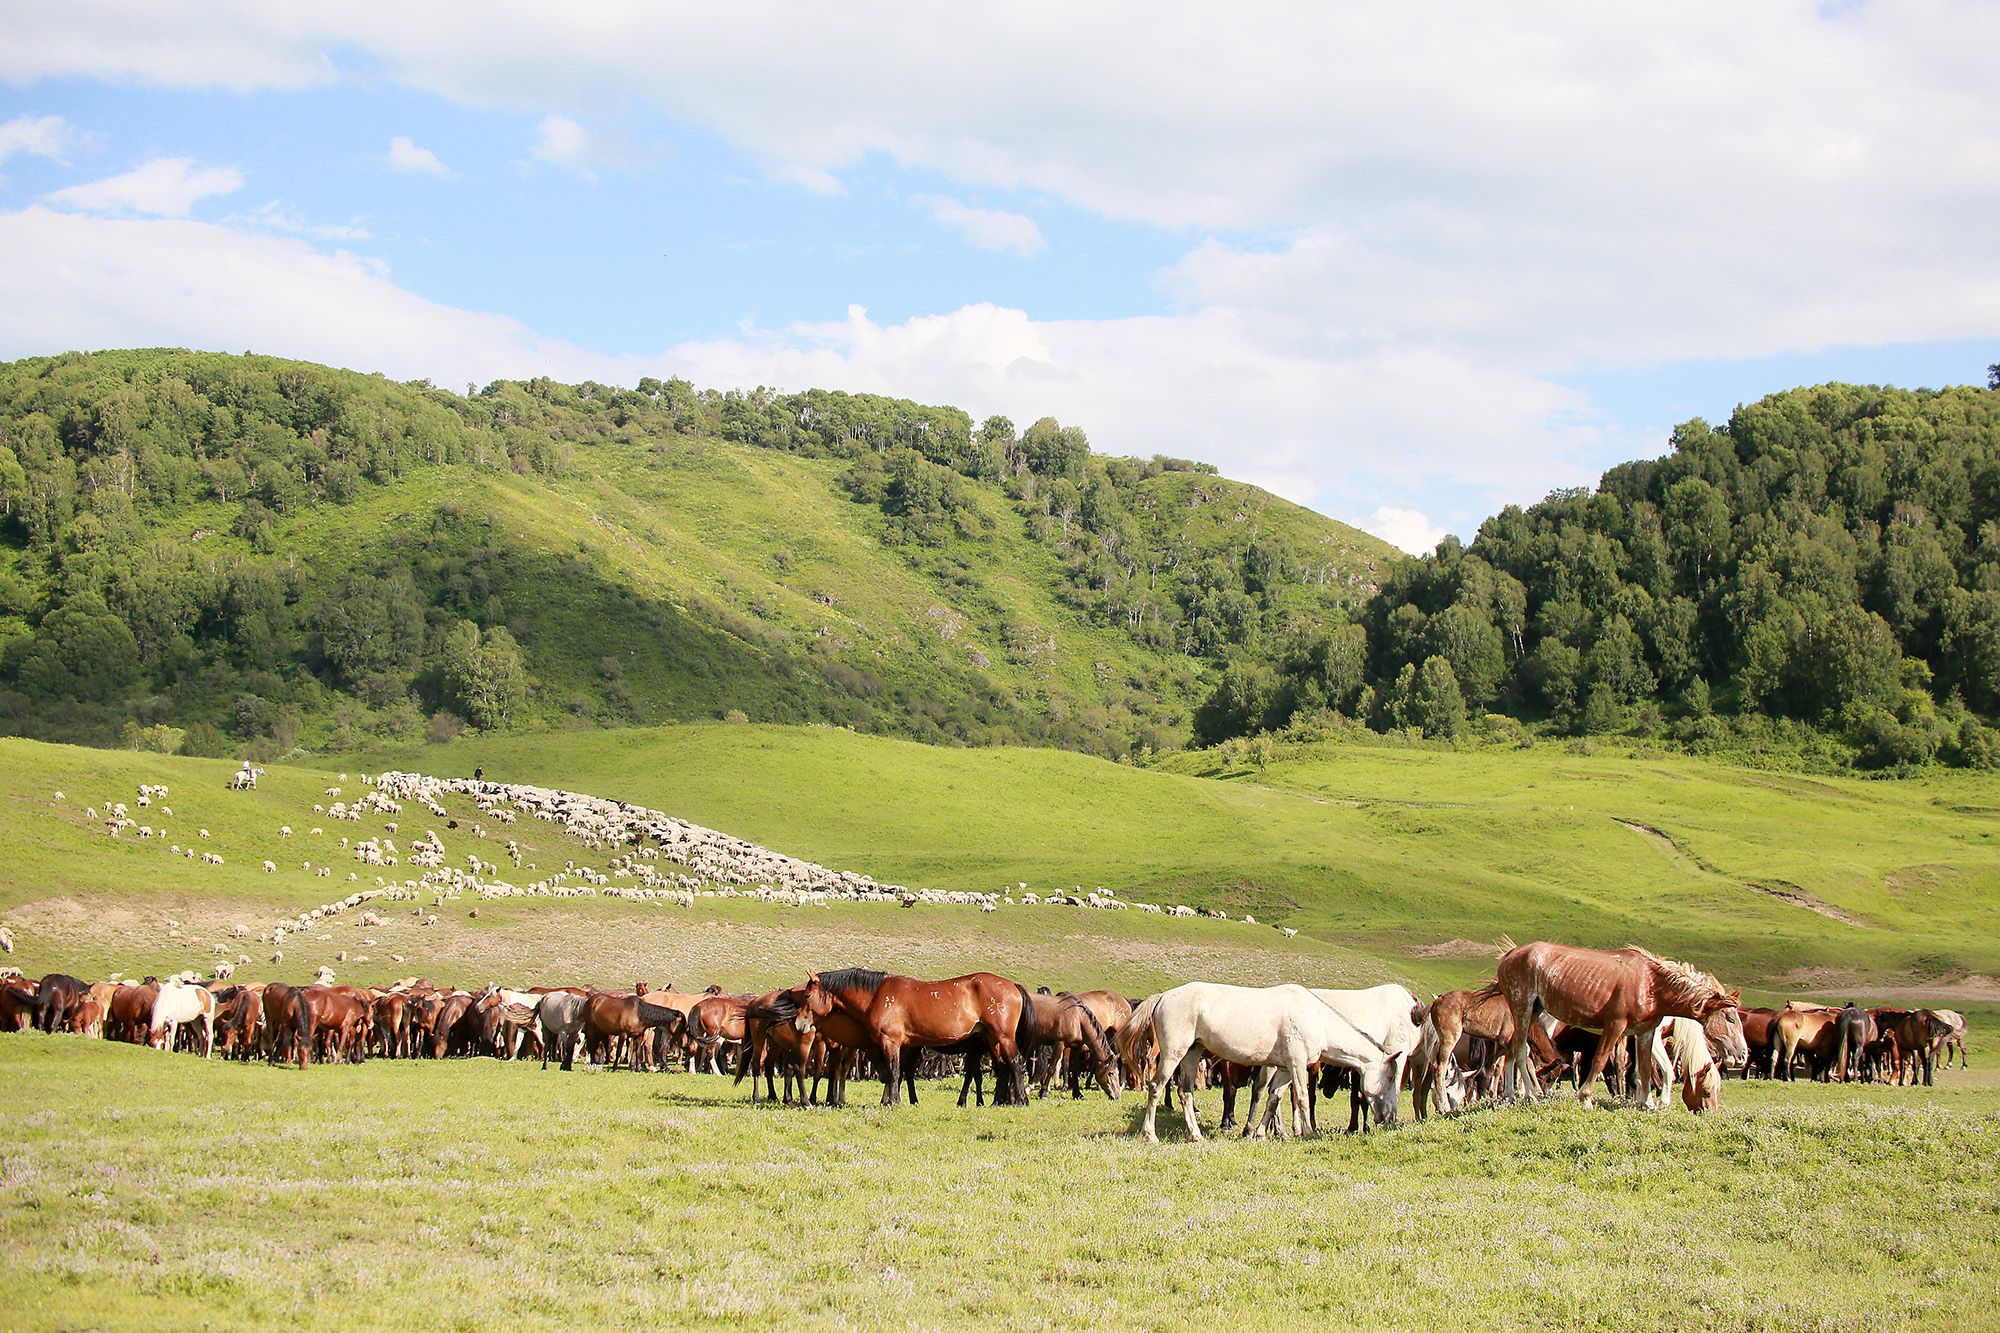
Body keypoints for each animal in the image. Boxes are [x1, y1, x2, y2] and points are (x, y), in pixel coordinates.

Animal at [792, 964, 1032, 1096]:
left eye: (807, 995)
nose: (798, 1024)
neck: (878, 995)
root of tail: (1012, 986)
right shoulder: (904, 1045)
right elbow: (897, 1073)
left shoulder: (890, 1042)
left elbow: (893, 1071)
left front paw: (892, 1101)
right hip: (993, 1039)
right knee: (1003, 1067)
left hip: (1003, 1037)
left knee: (1015, 1063)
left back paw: (1020, 1099)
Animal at [1144, 976, 1392, 1144]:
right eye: (1390, 1079)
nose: (1387, 1118)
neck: (1315, 1018)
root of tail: (1163, 997)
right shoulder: (1297, 1063)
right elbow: (1302, 1097)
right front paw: (1308, 1132)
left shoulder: (1284, 1068)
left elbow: (1273, 1099)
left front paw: (1260, 1134)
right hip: (1173, 1053)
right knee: (1156, 1087)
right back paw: (1149, 1135)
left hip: (1192, 1053)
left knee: (1185, 1092)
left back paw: (1195, 1136)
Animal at [1504, 940, 1736, 1104]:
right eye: (1731, 1018)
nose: (1739, 1056)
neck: (1650, 984)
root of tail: (1509, 955)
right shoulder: (1615, 1026)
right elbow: (1600, 1061)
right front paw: (1586, 1098)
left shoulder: (1645, 1032)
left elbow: (1644, 1068)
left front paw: (1647, 1103)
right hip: (1522, 1008)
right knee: (1521, 1050)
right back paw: (1531, 1095)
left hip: (1533, 1011)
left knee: (1511, 1048)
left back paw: (1509, 1095)